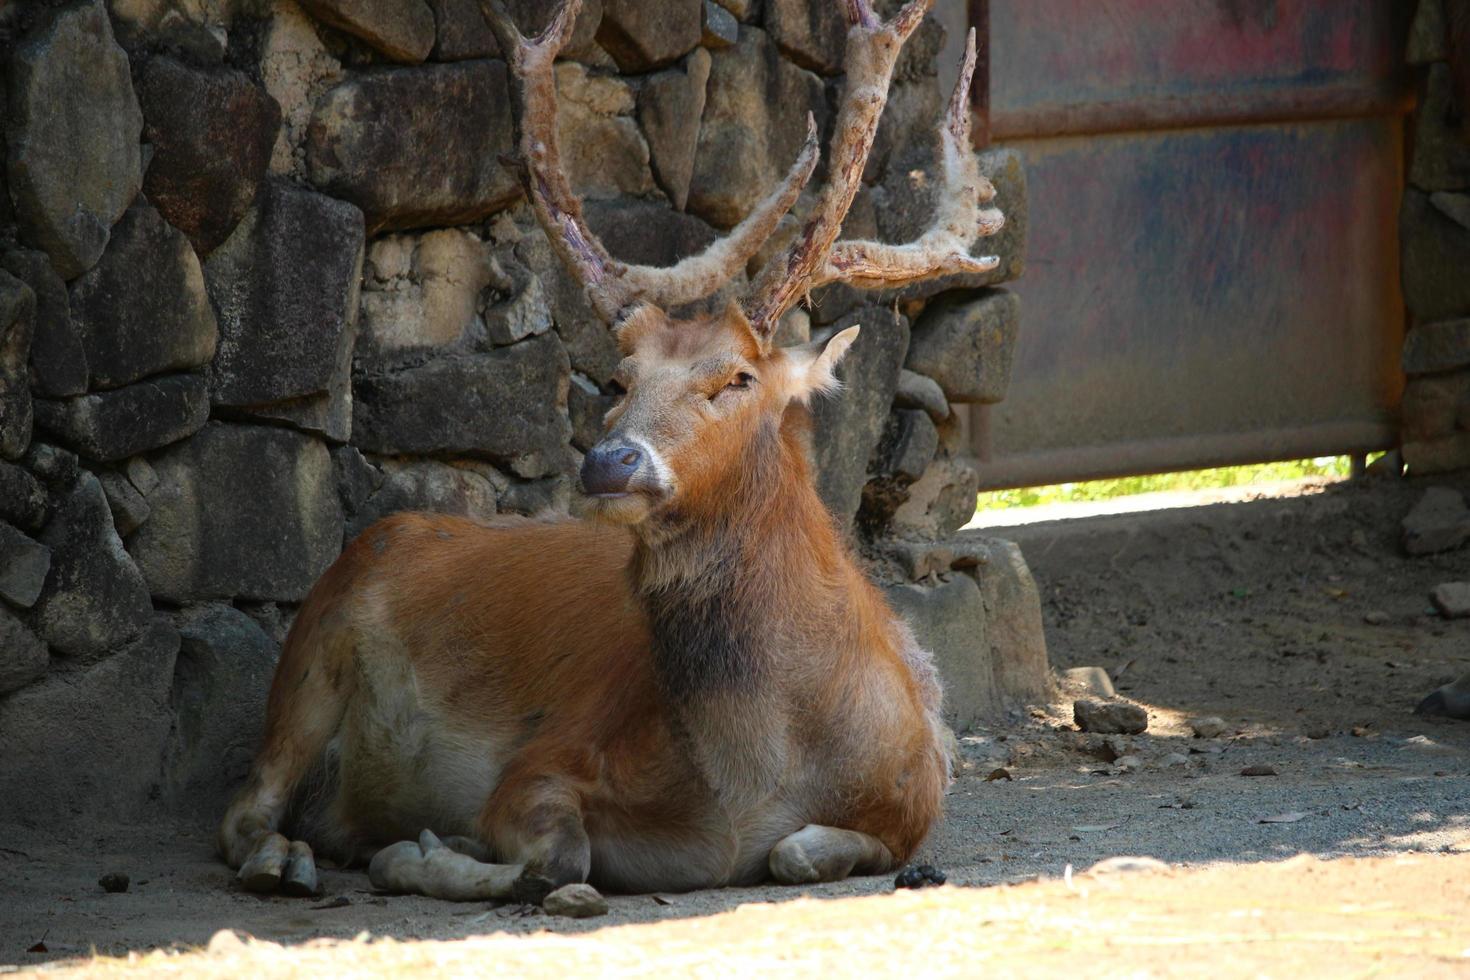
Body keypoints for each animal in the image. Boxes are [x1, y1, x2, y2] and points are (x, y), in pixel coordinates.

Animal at [217, 0, 1005, 905]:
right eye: (621, 378)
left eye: (737, 378)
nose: (610, 462)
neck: (752, 780)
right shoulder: (543, 759)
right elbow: (558, 858)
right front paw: (416, 852)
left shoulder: (914, 804)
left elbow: (804, 852)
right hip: (311, 649)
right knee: (244, 809)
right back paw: (287, 860)